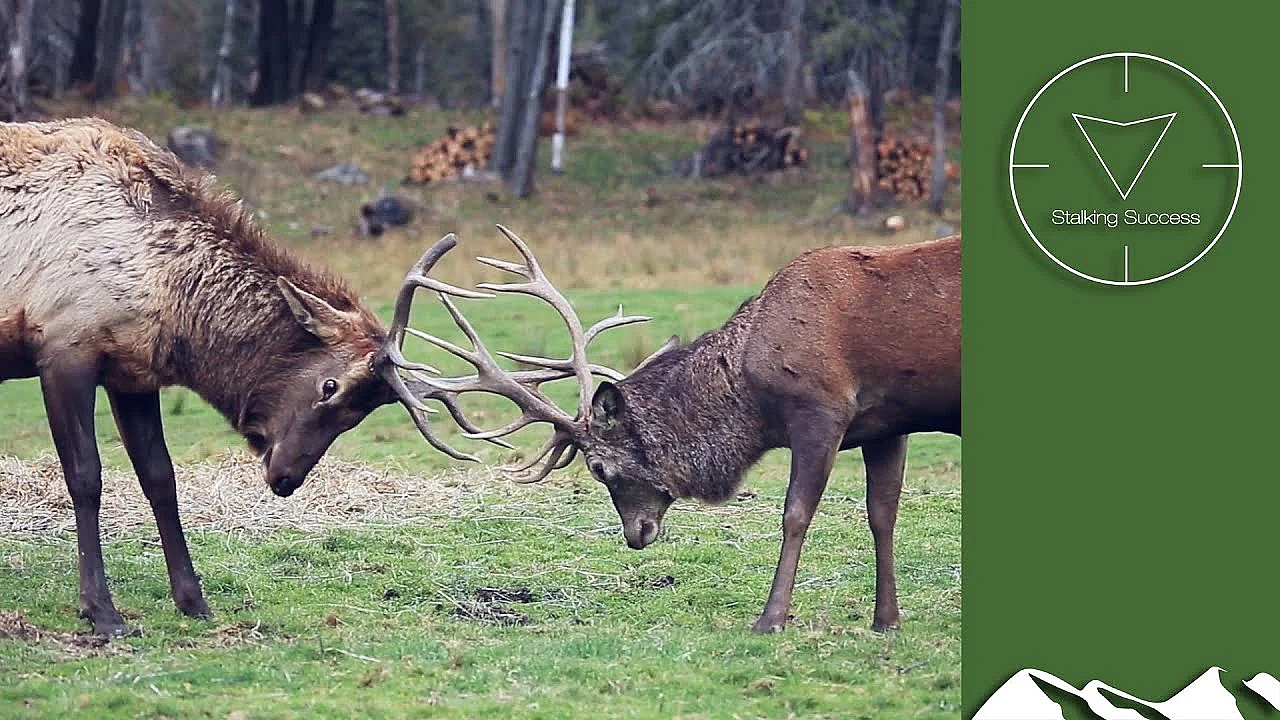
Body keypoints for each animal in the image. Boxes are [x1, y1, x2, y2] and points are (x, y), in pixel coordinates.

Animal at [0, 118, 639, 636]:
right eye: (330, 387)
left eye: (360, 414)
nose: (285, 479)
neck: (162, 286)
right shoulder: (65, 346)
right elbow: (86, 477)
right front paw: (101, 612)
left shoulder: (133, 371)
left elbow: (161, 479)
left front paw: (194, 601)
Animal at [405, 227, 960, 633]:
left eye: (598, 467)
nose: (635, 535)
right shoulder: (886, 423)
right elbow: (882, 515)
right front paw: (886, 621)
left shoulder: (821, 410)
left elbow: (795, 515)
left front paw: (770, 619)